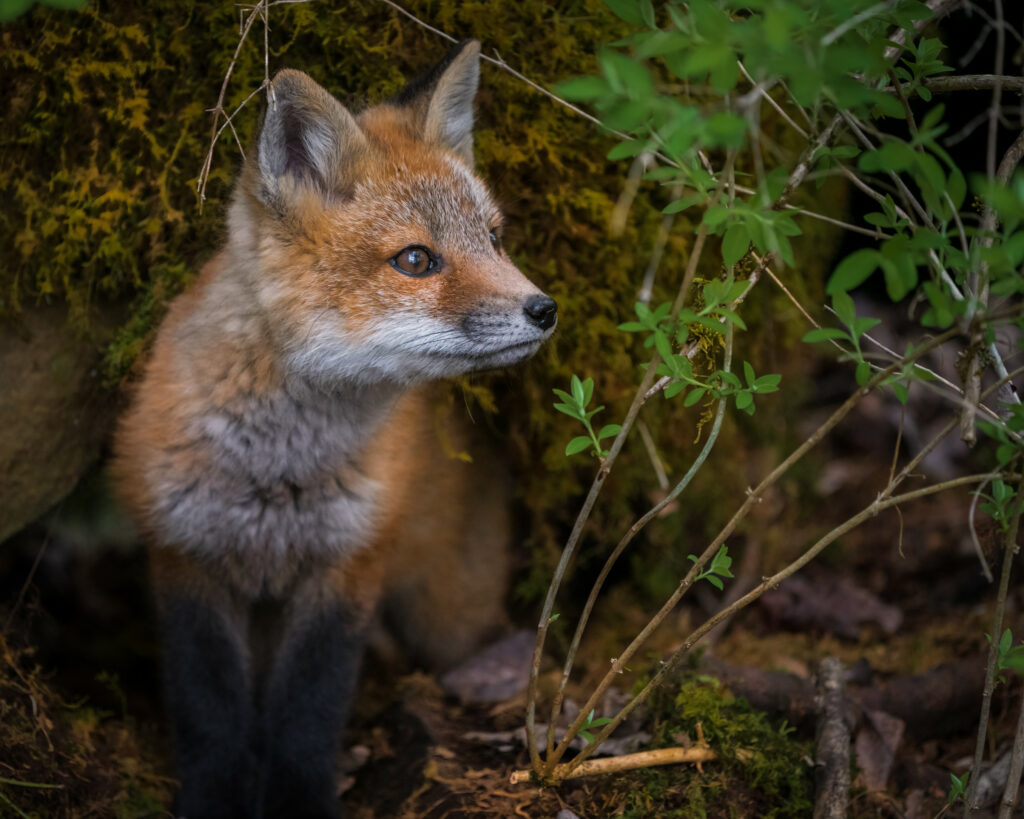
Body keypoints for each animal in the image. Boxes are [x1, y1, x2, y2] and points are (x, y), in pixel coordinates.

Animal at [112, 40, 556, 819]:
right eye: (416, 259)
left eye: (494, 239)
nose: (544, 308)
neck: (277, 472)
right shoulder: (185, 556)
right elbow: (210, 715)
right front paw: (216, 797)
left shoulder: (348, 564)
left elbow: (307, 715)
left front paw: (299, 799)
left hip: (444, 610)